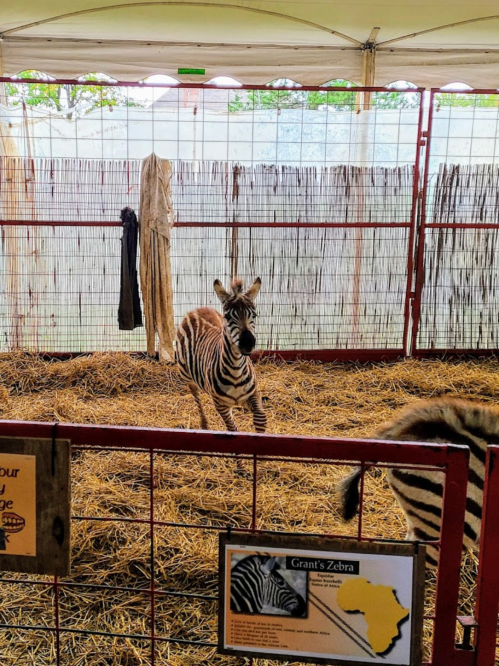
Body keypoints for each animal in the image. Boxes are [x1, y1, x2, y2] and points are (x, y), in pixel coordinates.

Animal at [175, 277, 267, 434]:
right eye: (228, 316)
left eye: (254, 315)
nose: (248, 343)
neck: (236, 371)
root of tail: (197, 309)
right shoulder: (221, 405)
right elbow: (232, 429)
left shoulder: (254, 394)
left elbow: (261, 419)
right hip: (186, 375)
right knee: (196, 395)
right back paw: (204, 424)